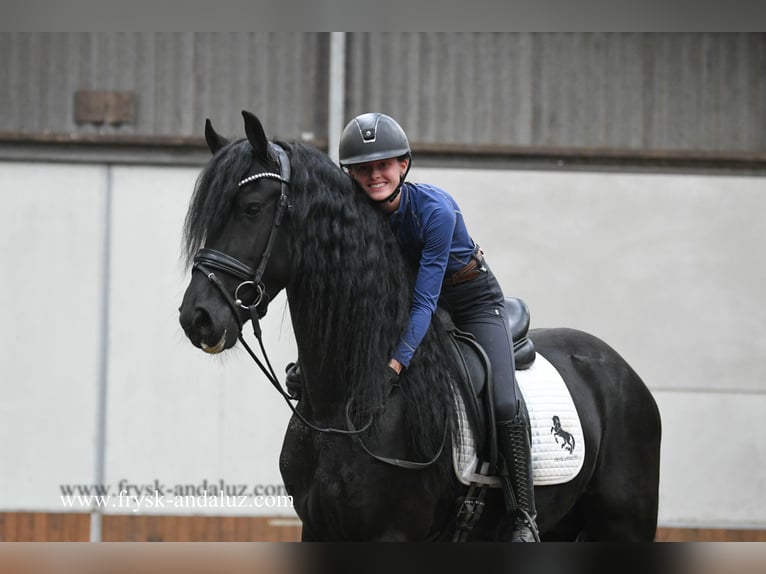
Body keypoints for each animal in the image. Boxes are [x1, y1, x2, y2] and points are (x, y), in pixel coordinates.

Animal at [178, 112, 660, 544]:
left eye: (252, 208)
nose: (196, 317)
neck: (343, 403)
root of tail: (621, 370)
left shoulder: (390, 535)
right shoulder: (316, 529)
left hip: (623, 526)